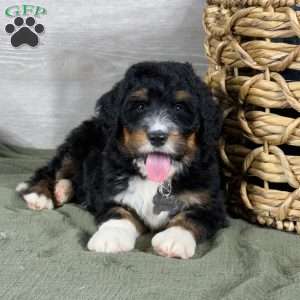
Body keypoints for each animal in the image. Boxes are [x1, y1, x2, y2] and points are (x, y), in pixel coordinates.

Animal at [16, 61, 226, 258]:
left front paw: (174, 238)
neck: (154, 180)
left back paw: (63, 190)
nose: (157, 136)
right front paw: (111, 237)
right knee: (50, 171)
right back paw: (40, 195)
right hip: (77, 145)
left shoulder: (211, 202)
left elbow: (192, 216)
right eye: (140, 106)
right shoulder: (110, 191)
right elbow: (119, 212)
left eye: (179, 107)